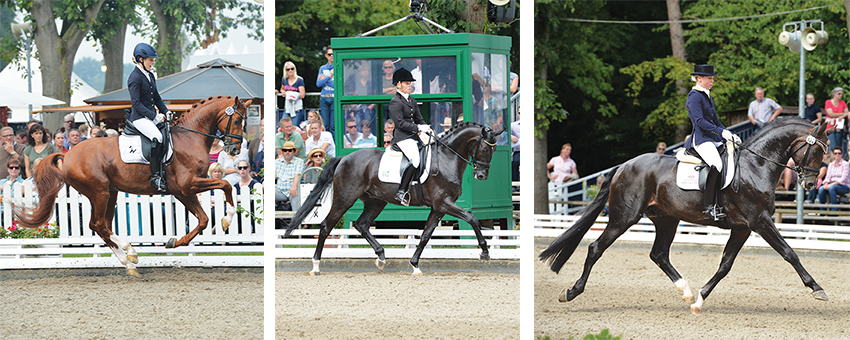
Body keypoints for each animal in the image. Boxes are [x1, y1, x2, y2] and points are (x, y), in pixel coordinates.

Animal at [15, 95, 252, 276]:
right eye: (237, 121)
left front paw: (175, 241)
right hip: (99, 192)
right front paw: (225, 220)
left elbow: (204, 219)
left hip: (110, 193)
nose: (234, 150)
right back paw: (131, 252)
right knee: (98, 225)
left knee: (101, 226)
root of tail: (68, 155)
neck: (189, 137)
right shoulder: (187, 186)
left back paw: (129, 263)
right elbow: (225, 186)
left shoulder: (183, 191)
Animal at [284, 122, 500, 276]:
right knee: (326, 226)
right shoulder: (444, 204)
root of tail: (343, 158)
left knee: (361, 224)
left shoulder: (438, 208)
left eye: (494, 150)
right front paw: (485, 252)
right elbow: (472, 219)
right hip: (344, 199)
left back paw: (381, 257)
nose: (482, 175)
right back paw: (315, 266)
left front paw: (415, 266)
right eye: (485, 149)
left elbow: (425, 235)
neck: (447, 157)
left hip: (376, 202)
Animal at [540, 118, 824, 314]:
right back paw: (571, 292)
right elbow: (789, 253)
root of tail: (623, 166)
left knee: (658, 254)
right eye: (818, 151)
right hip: (624, 218)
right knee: (596, 248)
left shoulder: (743, 228)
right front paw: (817, 289)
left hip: (667, 219)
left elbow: (725, 265)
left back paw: (685, 291)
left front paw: (699, 300)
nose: (811, 184)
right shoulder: (760, 221)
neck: (756, 166)